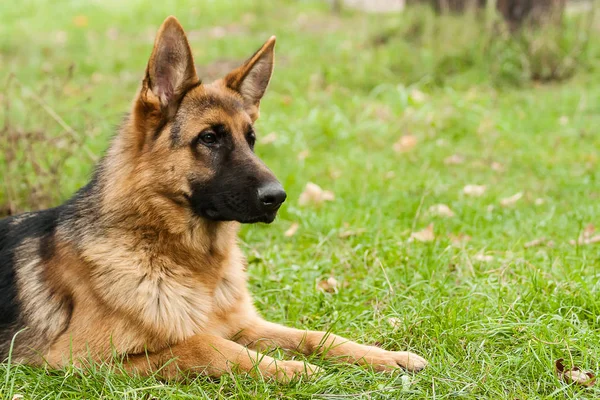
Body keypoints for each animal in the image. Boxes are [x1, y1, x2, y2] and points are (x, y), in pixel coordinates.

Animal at [0, 16, 426, 382]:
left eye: (250, 139)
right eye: (209, 138)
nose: (278, 197)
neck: (183, 260)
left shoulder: (246, 324)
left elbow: (316, 336)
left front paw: (386, 356)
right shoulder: (80, 359)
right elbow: (203, 344)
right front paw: (289, 368)